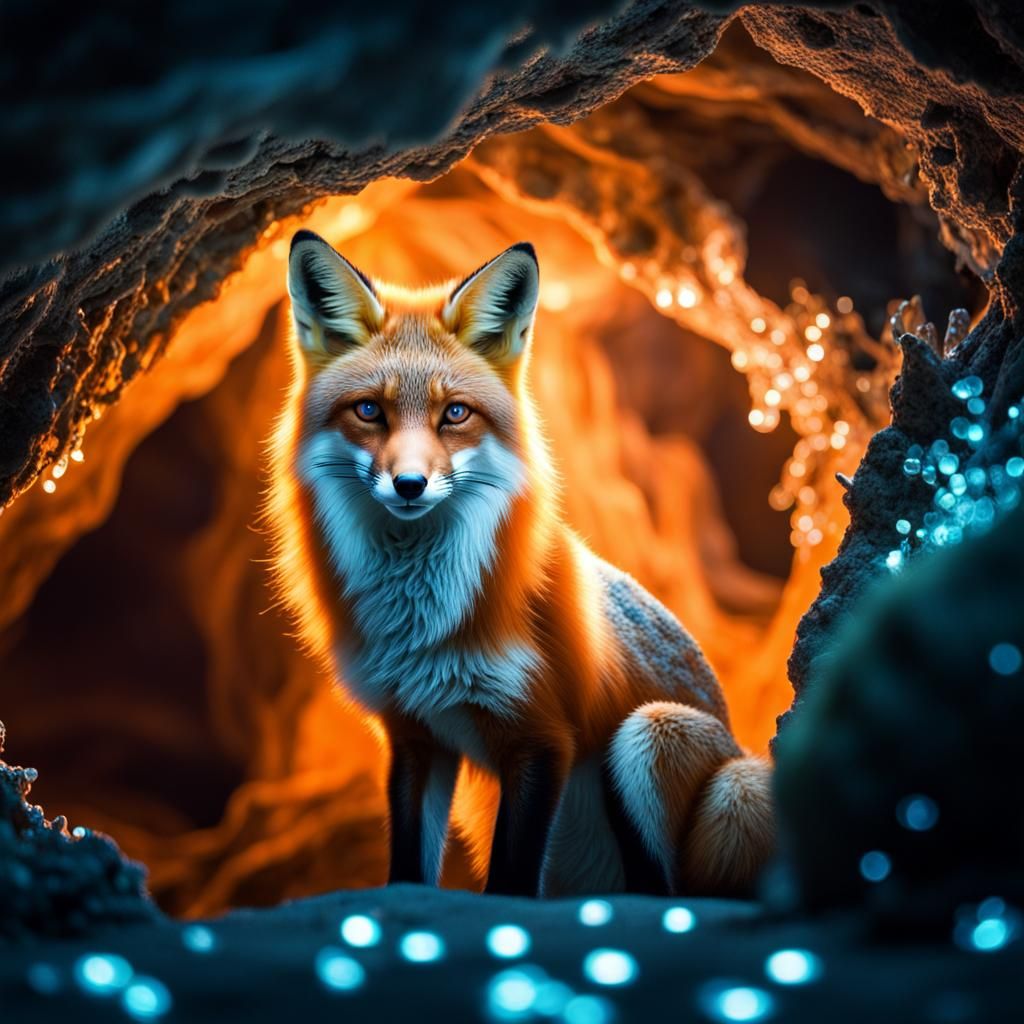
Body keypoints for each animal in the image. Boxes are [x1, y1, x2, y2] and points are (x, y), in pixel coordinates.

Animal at [267, 229, 775, 897]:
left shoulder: (542, 739)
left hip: (650, 735)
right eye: (369, 411)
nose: (409, 485)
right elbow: (409, 872)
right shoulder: (415, 736)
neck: (419, 628)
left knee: (660, 889)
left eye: (455, 413)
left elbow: (510, 879)